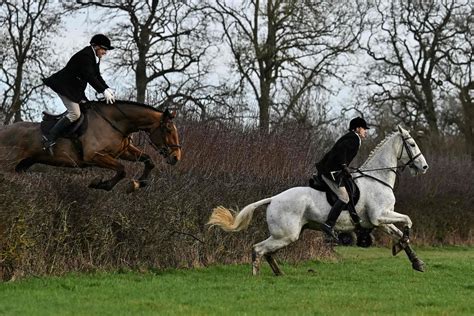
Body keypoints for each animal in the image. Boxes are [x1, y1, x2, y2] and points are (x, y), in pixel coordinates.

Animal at [0, 101, 181, 190]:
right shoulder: (94, 156)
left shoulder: (123, 151)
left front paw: (139, 183)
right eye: (168, 129)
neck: (115, 123)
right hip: (7, 165)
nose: (176, 157)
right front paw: (101, 184)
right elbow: (122, 169)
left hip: (23, 165)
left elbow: (148, 160)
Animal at [207, 124, 430, 276]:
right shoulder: (380, 216)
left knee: (266, 252)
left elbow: (401, 233)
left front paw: (414, 260)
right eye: (412, 144)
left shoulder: (381, 220)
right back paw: (257, 277)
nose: (424, 167)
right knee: (258, 249)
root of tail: (274, 199)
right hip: (287, 234)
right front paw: (403, 247)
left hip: (286, 234)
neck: (378, 178)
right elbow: (408, 221)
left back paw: (278, 274)